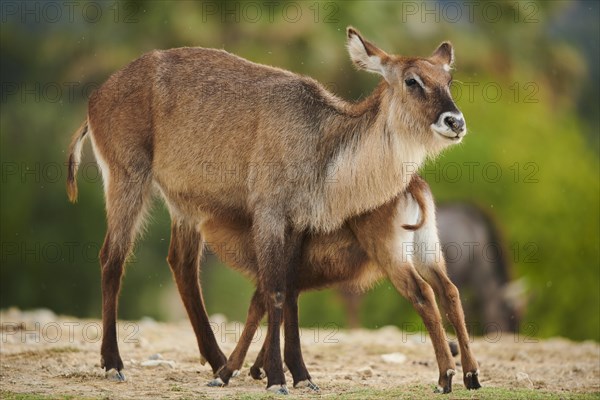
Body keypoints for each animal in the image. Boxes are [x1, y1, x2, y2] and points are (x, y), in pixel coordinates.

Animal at [67, 27, 478, 394]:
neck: (323, 145)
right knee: (112, 258)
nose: (455, 122)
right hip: (127, 178)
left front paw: (300, 375)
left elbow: (288, 293)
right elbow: (276, 291)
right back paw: (114, 363)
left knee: (181, 265)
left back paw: (219, 363)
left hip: (184, 203)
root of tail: (98, 93)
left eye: (448, 79)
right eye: (412, 80)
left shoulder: (296, 224)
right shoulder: (269, 214)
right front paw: (279, 378)